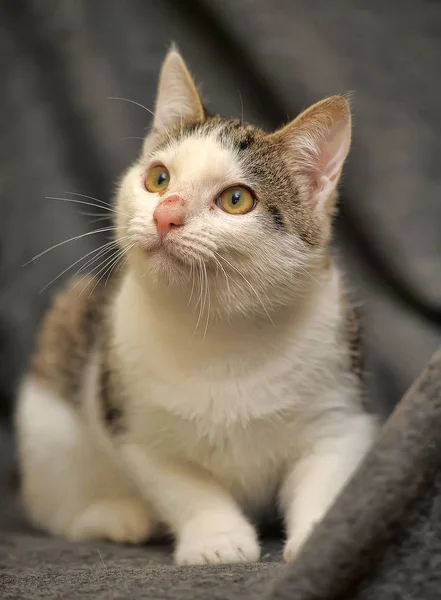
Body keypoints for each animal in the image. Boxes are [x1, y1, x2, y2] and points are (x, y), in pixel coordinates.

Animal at [14, 49, 378, 564]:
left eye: (236, 199)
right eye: (158, 178)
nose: (166, 214)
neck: (221, 332)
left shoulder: (339, 414)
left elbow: (326, 476)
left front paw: (322, 538)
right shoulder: (135, 427)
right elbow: (185, 487)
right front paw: (216, 538)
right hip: (51, 412)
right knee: (56, 506)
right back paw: (116, 516)